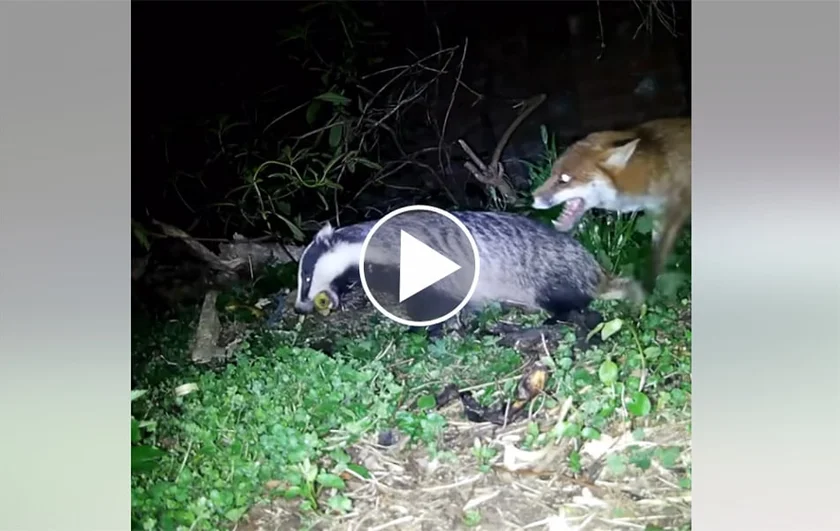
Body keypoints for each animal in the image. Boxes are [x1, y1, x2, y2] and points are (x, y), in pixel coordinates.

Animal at [530, 117, 691, 292]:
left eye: (564, 180)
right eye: (552, 173)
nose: (533, 197)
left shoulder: (673, 214)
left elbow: (657, 259)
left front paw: (648, 289)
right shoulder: (657, 216)